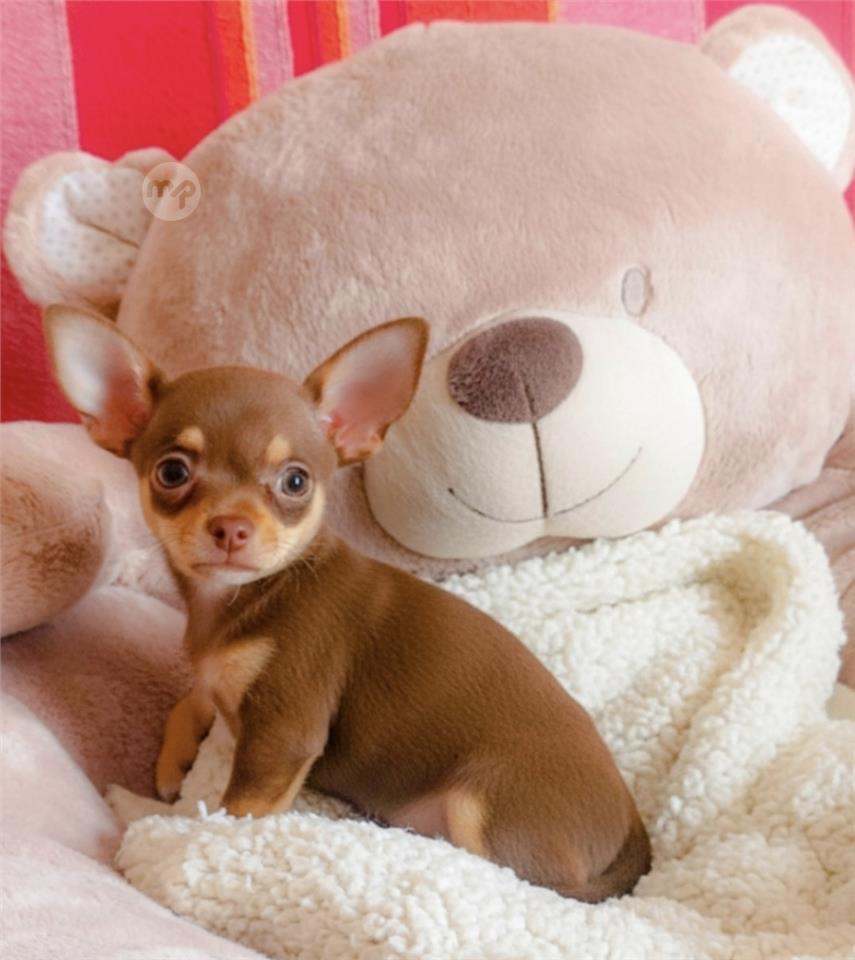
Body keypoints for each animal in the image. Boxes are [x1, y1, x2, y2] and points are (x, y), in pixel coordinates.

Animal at [44, 304, 651, 902]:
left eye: (295, 482)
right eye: (172, 472)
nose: (231, 527)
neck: (246, 598)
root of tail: (633, 834)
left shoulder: (283, 735)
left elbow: (219, 821)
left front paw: (151, 813)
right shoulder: (220, 677)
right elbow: (193, 697)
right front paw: (175, 758)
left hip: (485, 803)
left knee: (517, 879)